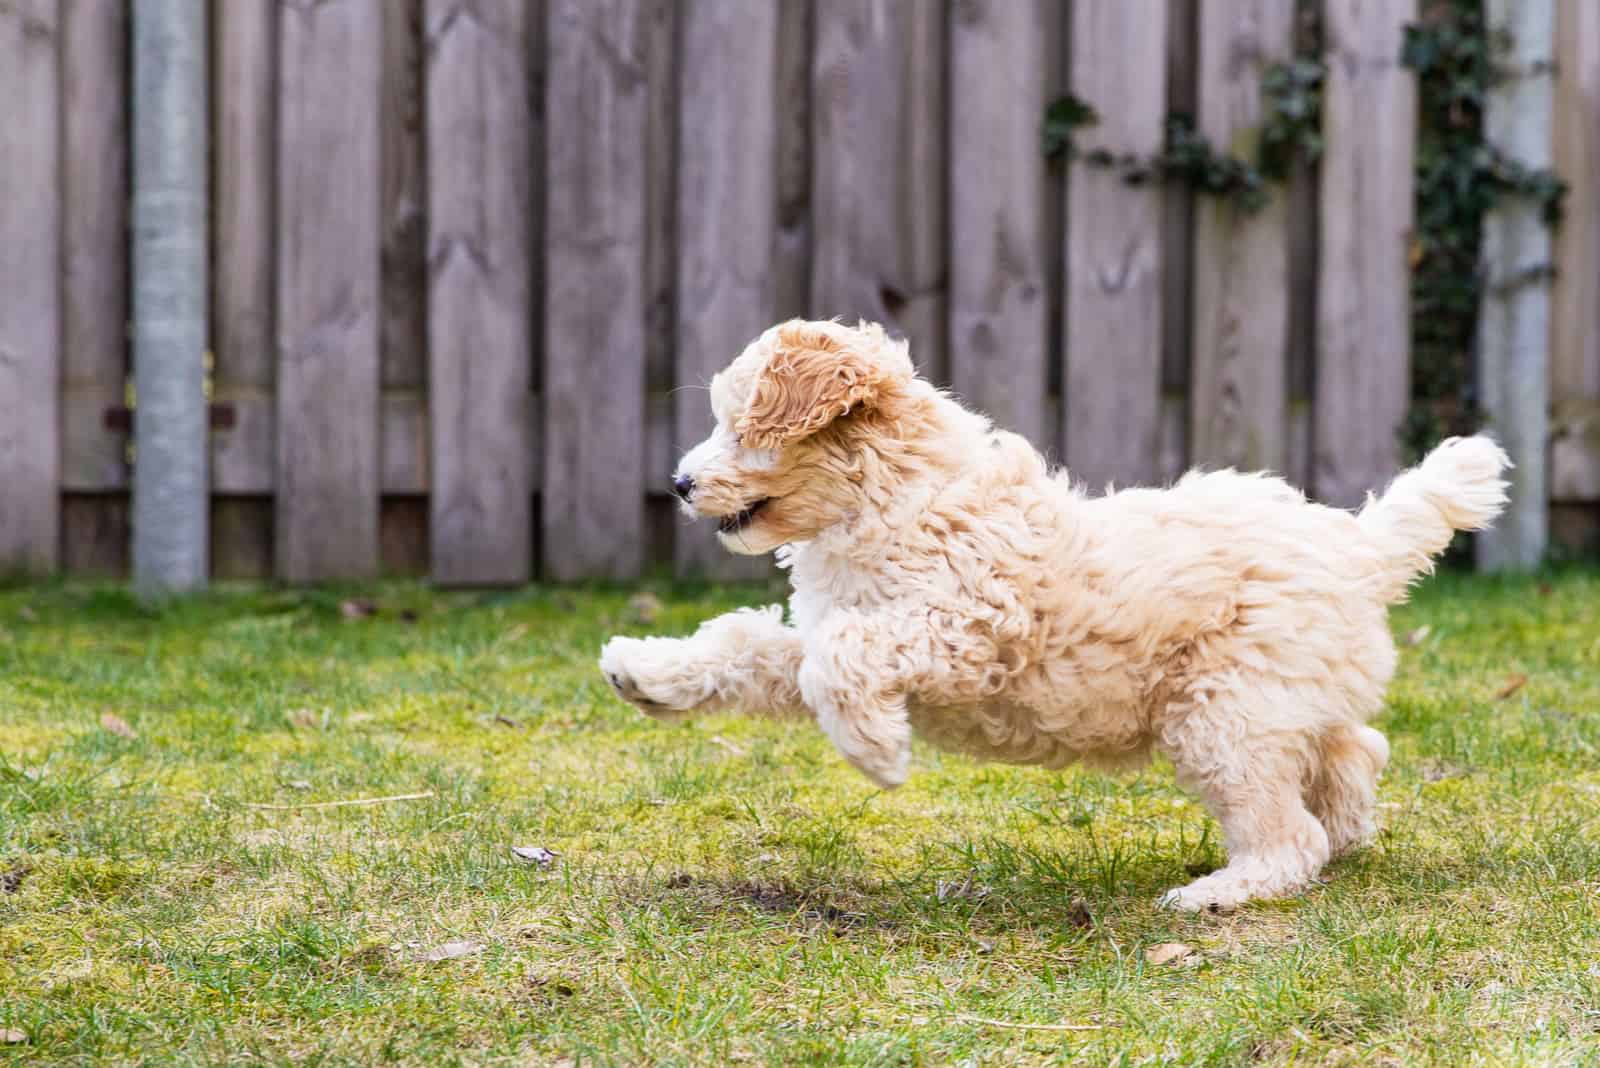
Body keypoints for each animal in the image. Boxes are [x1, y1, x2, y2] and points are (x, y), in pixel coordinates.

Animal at [601, 316, 1510, 908]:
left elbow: (844, 658)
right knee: (1354, 750)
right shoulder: (835, 623)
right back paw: (1346, 832)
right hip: (1283, 696)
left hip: (1223, 712)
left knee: (1290, 832)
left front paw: (877, 753)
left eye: (738, 424)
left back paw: (1222, 892)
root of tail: (1358, 547)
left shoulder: (961, 629)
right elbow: (749, 643)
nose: (679, 484)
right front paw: (644, 670)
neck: (898, 498)